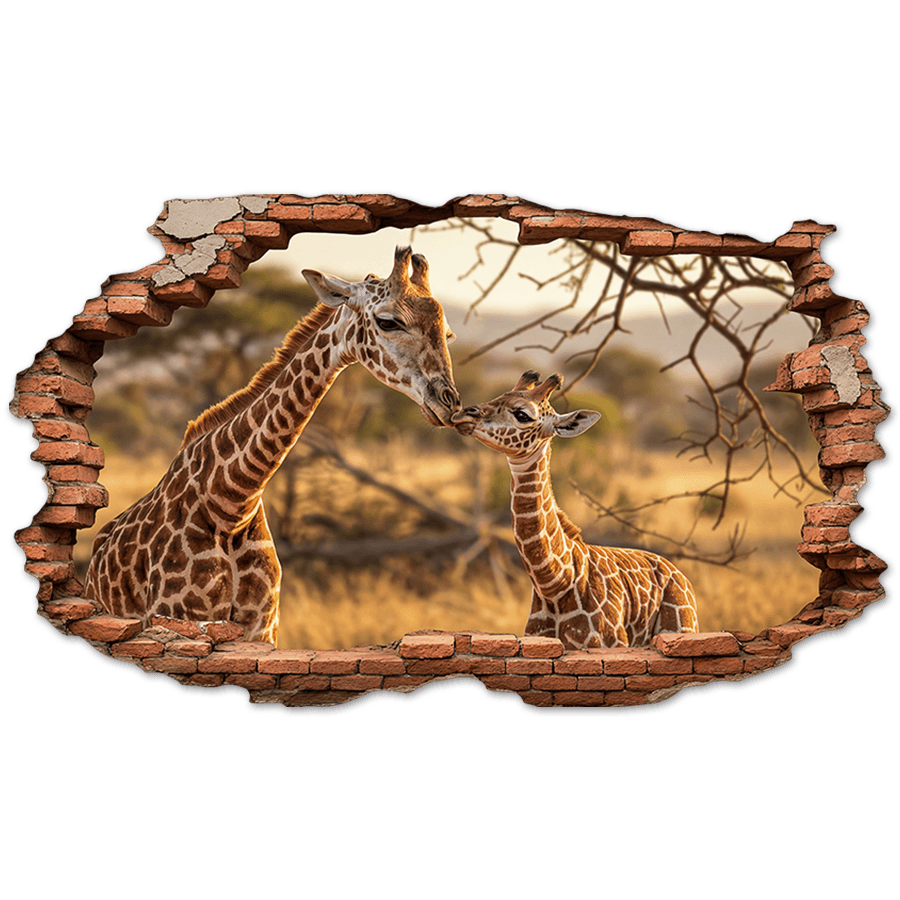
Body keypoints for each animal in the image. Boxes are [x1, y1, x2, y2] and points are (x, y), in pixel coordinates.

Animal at [84, 246, 460, 644]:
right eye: (388, 322)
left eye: (447, 334)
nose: (448, 403)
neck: (233, 503)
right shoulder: (179, 618)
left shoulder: (263, 629)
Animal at [451, 371, 699, 649]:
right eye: (498, 396)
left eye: (522, 414)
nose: (462, 415)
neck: (555, 584)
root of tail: (678, 573)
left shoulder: (609, 644)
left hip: (681, 627)